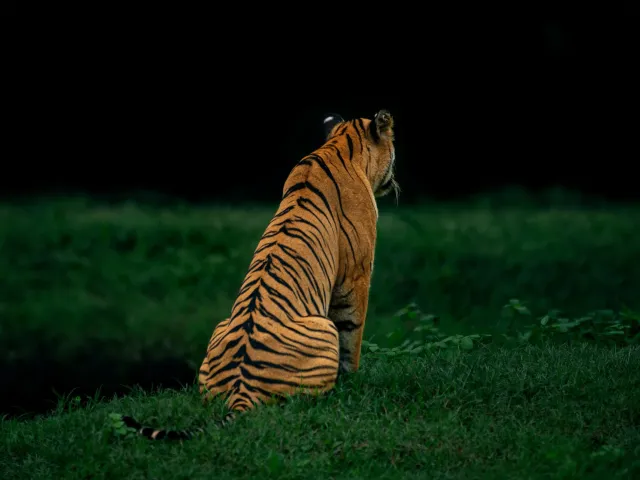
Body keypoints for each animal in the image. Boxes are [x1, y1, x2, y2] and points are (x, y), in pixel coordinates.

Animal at [118, 109, 398, 440]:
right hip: (323, 328)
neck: (342, 146)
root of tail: (242, 392)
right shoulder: (356, 276)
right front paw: (353, 381)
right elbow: (353, 333)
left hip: (219, 332)